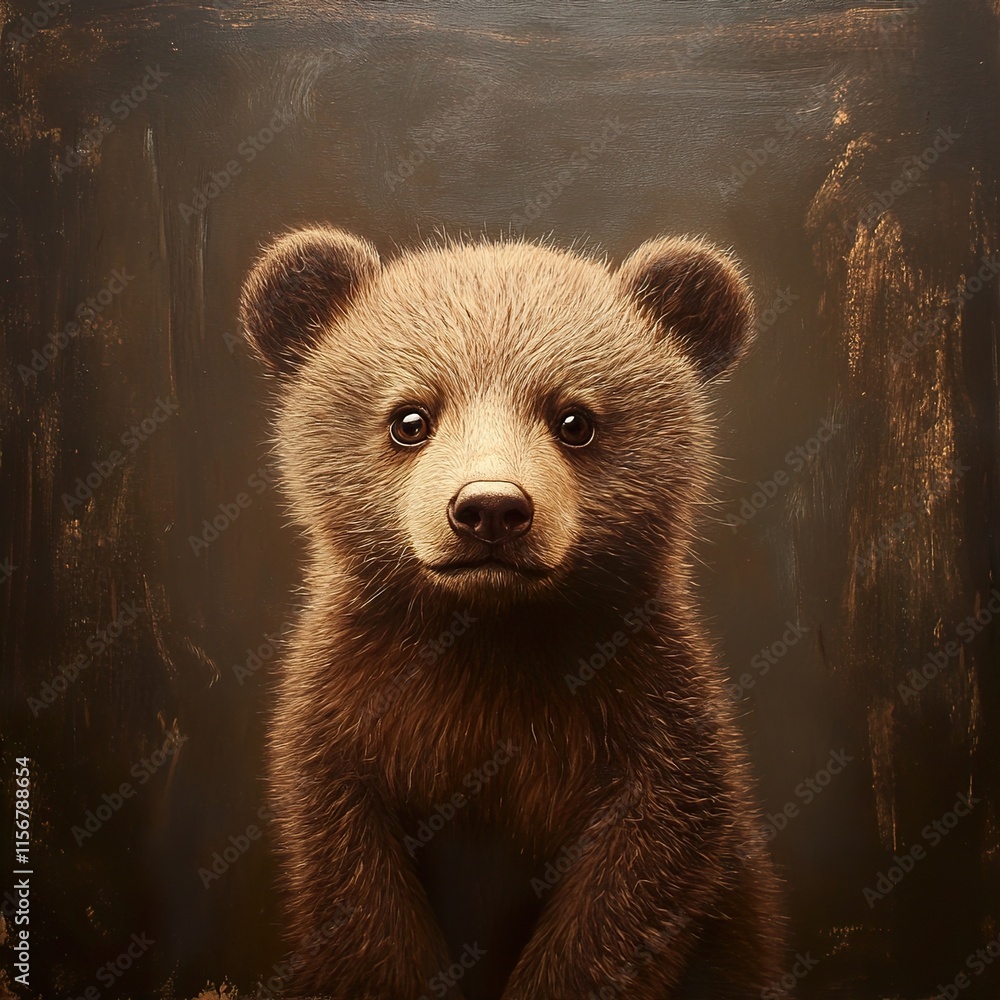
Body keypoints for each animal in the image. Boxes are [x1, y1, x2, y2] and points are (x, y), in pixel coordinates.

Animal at [239, 226, 786, 999]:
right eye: (410, 418)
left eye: (575, 420)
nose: (491, 507)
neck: (491, 639)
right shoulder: (347, 723)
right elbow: (359, 901)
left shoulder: (648, 722)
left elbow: (631, 897)